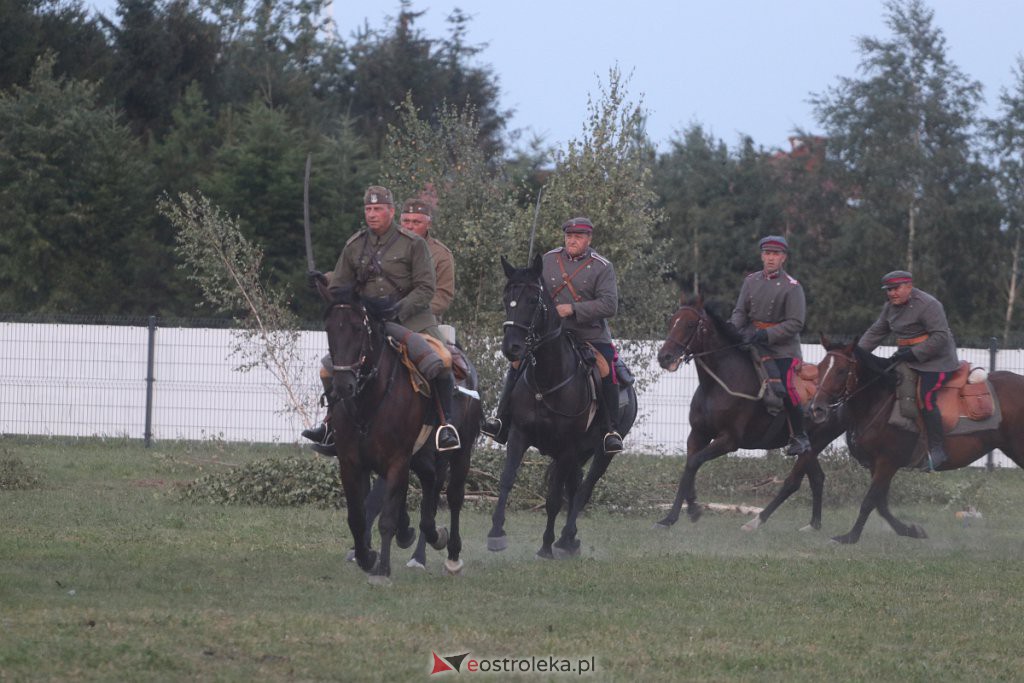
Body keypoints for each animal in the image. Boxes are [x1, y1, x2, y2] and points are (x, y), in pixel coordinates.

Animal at [319, 286, 468, 585]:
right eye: (329, 329)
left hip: (459, 453)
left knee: (454, 497)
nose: (343, 385)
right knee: (429, 489)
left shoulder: (397, 458)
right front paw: (367, 557)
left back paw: (451, 555)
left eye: (357, 328)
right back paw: (424, 536)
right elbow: (357, 516)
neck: (369, 400)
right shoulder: (351, 462)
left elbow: (385, 518)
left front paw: (382, 570)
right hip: (420, 458)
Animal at [483, 253, 634, 557]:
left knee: (584, 490)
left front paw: (545, 545)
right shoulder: (519, 435)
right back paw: (570, 540)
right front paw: (496, 532)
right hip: (579, 454)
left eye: (533, 300)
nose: (511, 348)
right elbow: (507, 479)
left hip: (602, 453)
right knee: (575, 487)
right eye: (506, 299)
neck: (547, 382)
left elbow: (554, 498)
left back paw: (564, 539)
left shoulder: (567, 447)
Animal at [655, 296, 847, 532]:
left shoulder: (729, 441)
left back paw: (757, 521)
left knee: (794, 482)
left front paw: (681, 514)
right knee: (817, 478)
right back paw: (813, 525)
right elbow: (689, 466)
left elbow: (694, 463)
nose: (665, 357)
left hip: (815, 443)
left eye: (690, 324)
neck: (718, 384)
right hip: (811, 448)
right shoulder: (698, 435)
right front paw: (683, 512)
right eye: (672, 321)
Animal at [806, 337, 1024, 544]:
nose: (817, 409)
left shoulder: (887, 462)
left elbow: (869, 501)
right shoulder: (876, 465)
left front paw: (850, 537)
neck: (880, 400)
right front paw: (912, 530)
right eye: (820, 367)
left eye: (841, 371)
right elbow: (881, 504)